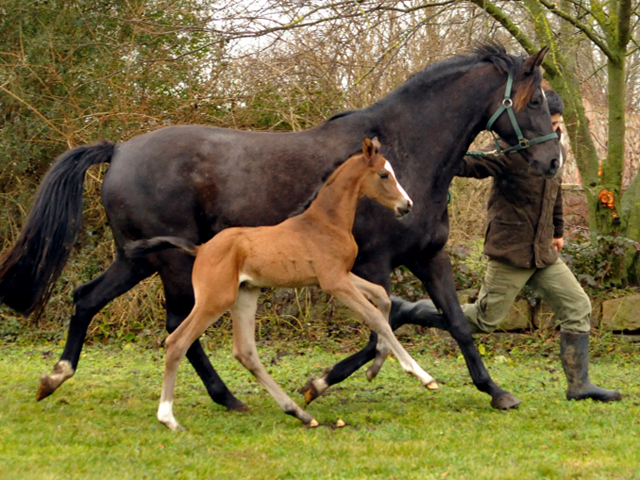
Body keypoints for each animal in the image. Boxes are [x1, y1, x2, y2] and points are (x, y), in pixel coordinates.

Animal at [127, 139, 438, 432]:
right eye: (384, 174)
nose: (406, 205)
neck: (327, 223)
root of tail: (200, 249)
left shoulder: (340, 275)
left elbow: (382, 298)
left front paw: (375, 368)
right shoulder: (334, 282)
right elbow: (374, 315)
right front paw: (422, 375)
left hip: (245, 295)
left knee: (245, 352)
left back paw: (300, 414)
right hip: (215, 299)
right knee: (177, 342)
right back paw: (168, 419)